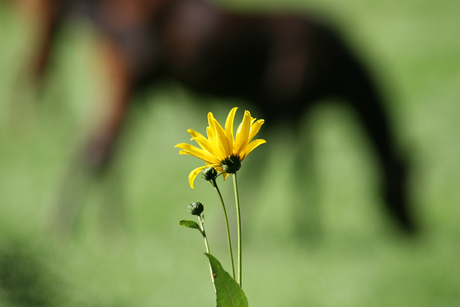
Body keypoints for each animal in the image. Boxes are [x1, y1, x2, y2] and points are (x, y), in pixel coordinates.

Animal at [7, 0, 416, 235]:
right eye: (404, 184)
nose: (414, 228)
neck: (335, 61)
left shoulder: (296, 113)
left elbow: (305, 170)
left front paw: (309, 225)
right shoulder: (282, 109)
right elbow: (279, 169)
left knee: (92, 147)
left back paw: (93, 225)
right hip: (126, 85)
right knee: (99, 150)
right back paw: (72, 225)